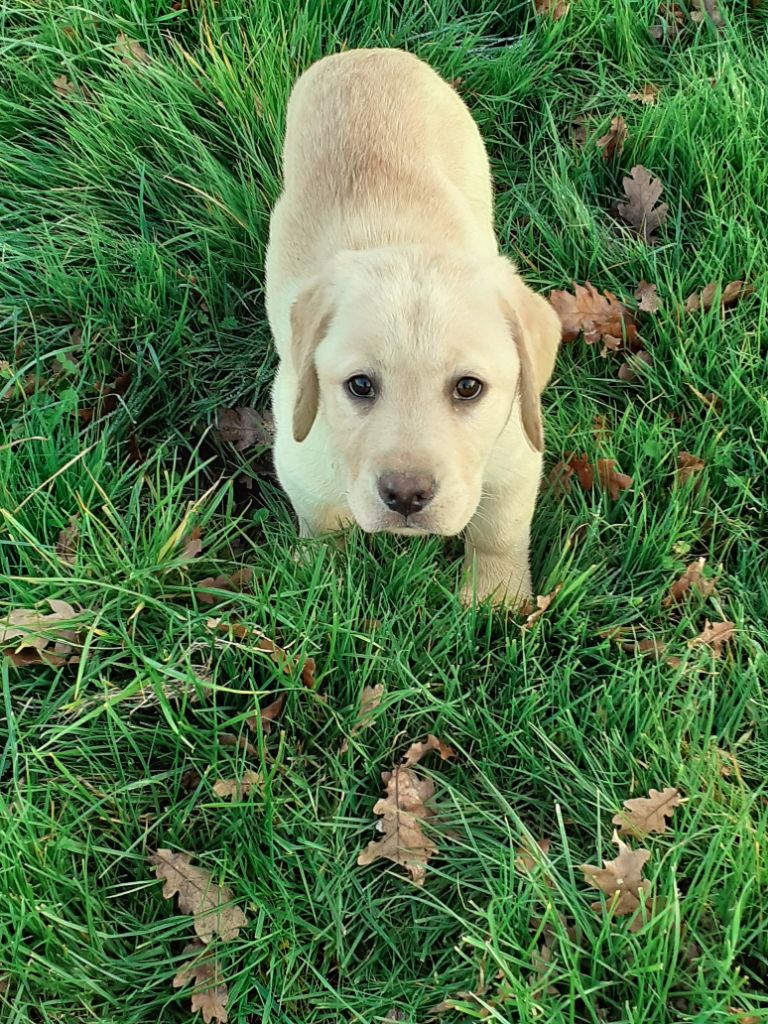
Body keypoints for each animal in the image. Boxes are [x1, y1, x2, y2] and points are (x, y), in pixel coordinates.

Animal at [268, 48, 561, 602]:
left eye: (468, 387)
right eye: (360, 385)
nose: (406, 494)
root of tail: (368, 54)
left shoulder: (516, 458)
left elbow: (498, 532)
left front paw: (496, 601)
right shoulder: (300, 459)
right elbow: (322, 527)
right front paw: (320, 586)